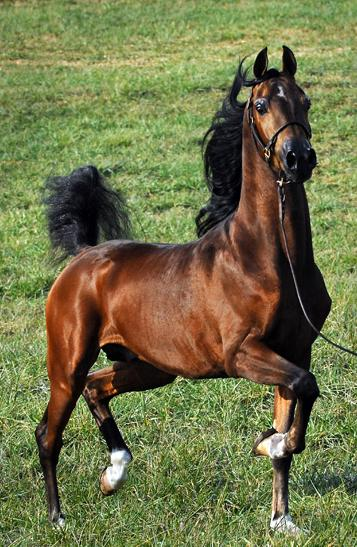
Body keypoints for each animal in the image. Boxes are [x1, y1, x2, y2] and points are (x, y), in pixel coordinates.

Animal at [34, 45, 330, 532]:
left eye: (304, 101)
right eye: (261, 105)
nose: (297, 157)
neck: (271, 260)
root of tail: (83, 256)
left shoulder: (295, 350)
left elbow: (298, 411)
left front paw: (281, 517)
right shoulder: (242, 354)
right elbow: (305, 392)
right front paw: (268, 442)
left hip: (150, 367)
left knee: (97, 389)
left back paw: (114, 473)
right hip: (68, 364)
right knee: (49, 432)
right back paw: (58, 517)